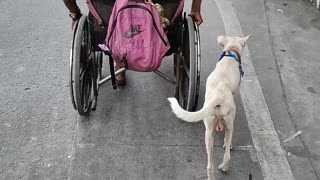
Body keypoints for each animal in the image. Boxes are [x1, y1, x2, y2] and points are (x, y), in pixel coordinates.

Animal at [166, 34, 251, 179]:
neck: (231, 53)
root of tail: (219, 95)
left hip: (209, 130)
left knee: (210, 165)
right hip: (228, 122)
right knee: (227, 152)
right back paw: (224, 165)